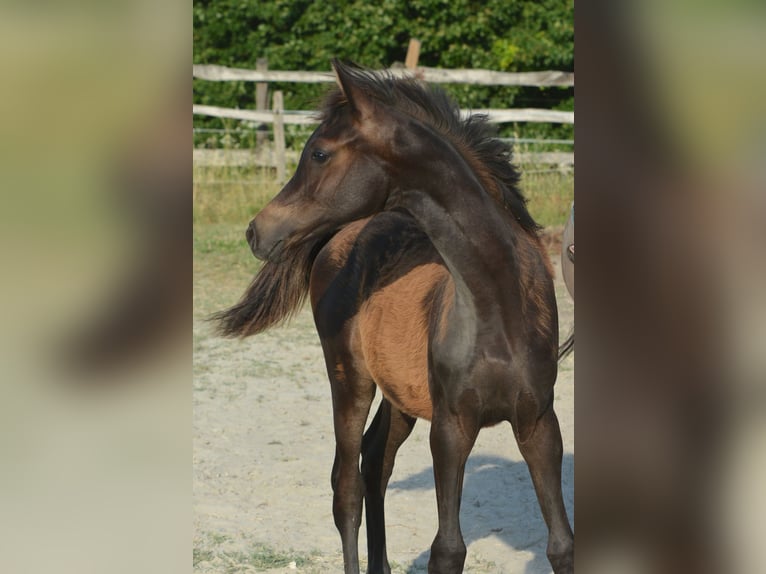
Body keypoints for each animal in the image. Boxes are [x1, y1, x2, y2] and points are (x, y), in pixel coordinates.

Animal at [214, 60, 574, 574]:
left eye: (320, 153)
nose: (256, 232)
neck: (497, 310)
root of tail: (343, 235)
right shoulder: (451, 427)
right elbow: (448, 548)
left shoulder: (540, 423)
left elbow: (560, 543)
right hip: (349, 379)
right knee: (346, 486)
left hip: (399, 395)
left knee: (374, 462)